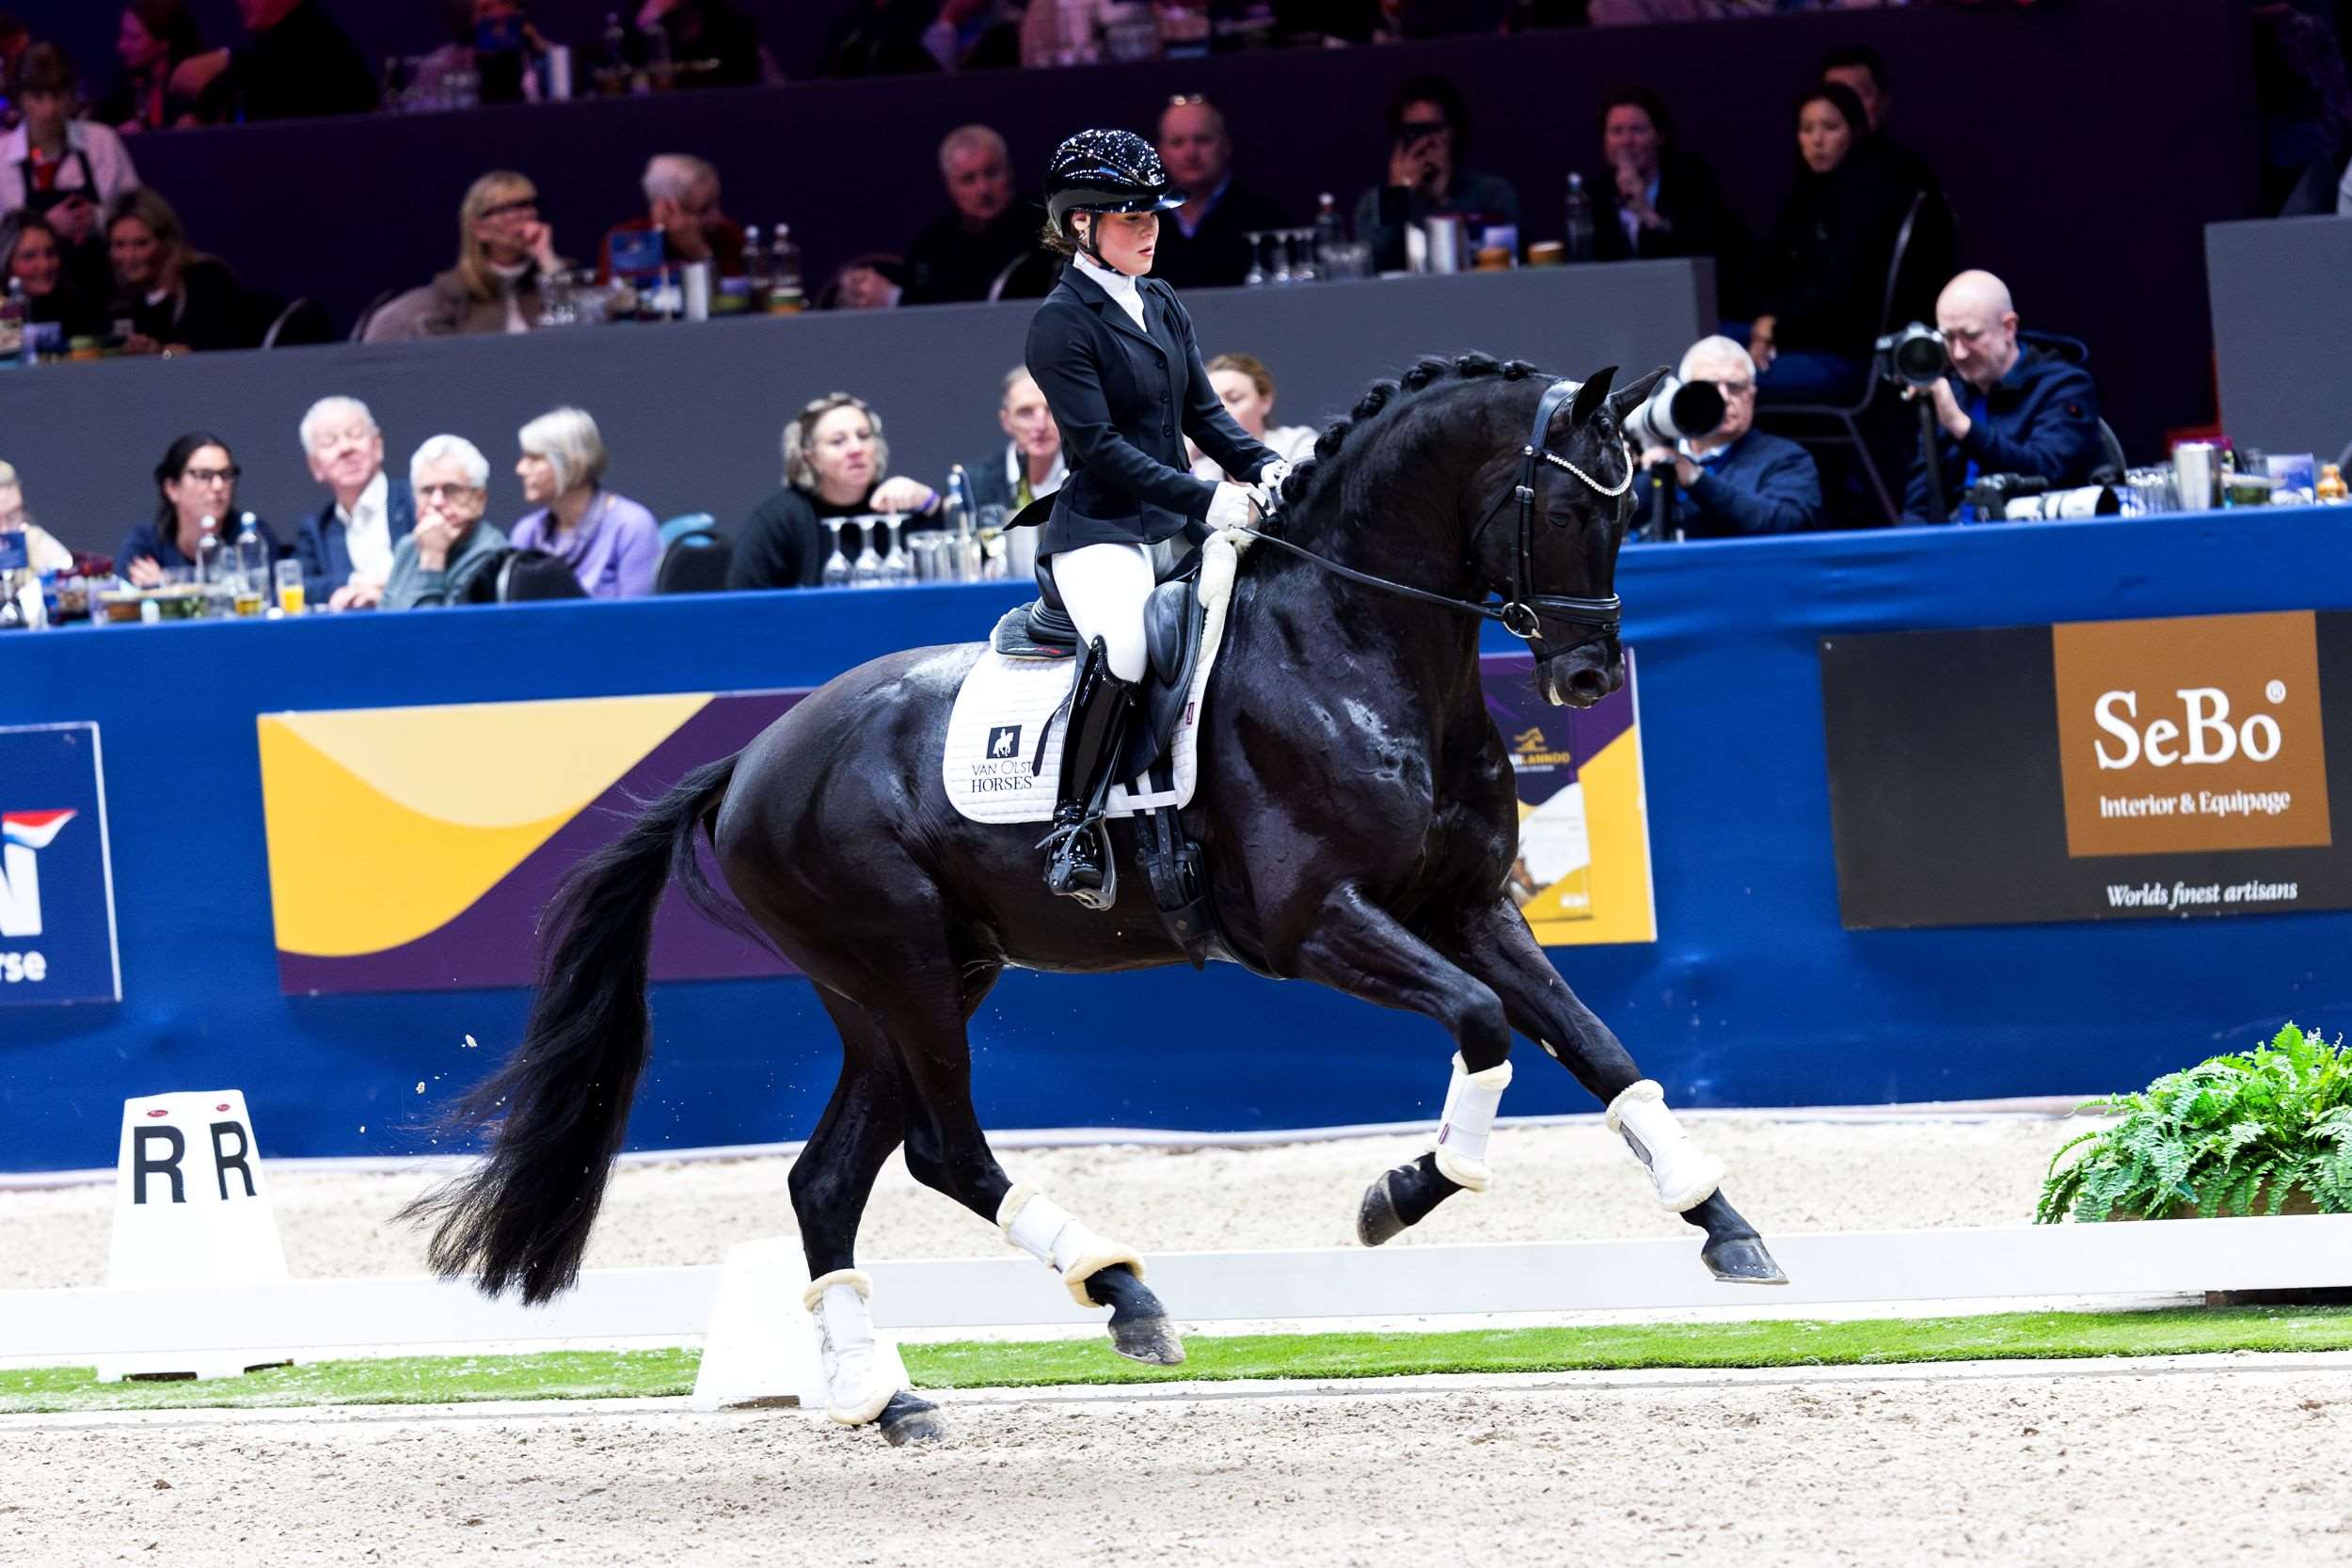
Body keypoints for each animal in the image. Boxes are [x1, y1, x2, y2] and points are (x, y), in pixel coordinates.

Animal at [404, 352, 1786, 1446]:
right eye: (1559, 502)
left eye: (1633, 504)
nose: (1589, 675)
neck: (1357, 647)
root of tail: (751, 759)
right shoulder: (1310, 923)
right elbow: (1487, 1030)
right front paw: (1396, 1193)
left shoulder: (1471, 909)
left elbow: (1604, 1054)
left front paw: (1727, 1227)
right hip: (903, 966)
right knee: (944, 1151)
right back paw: (1121, 1292)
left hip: (901, 984)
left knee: (826, 1181)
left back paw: (885, 1396)